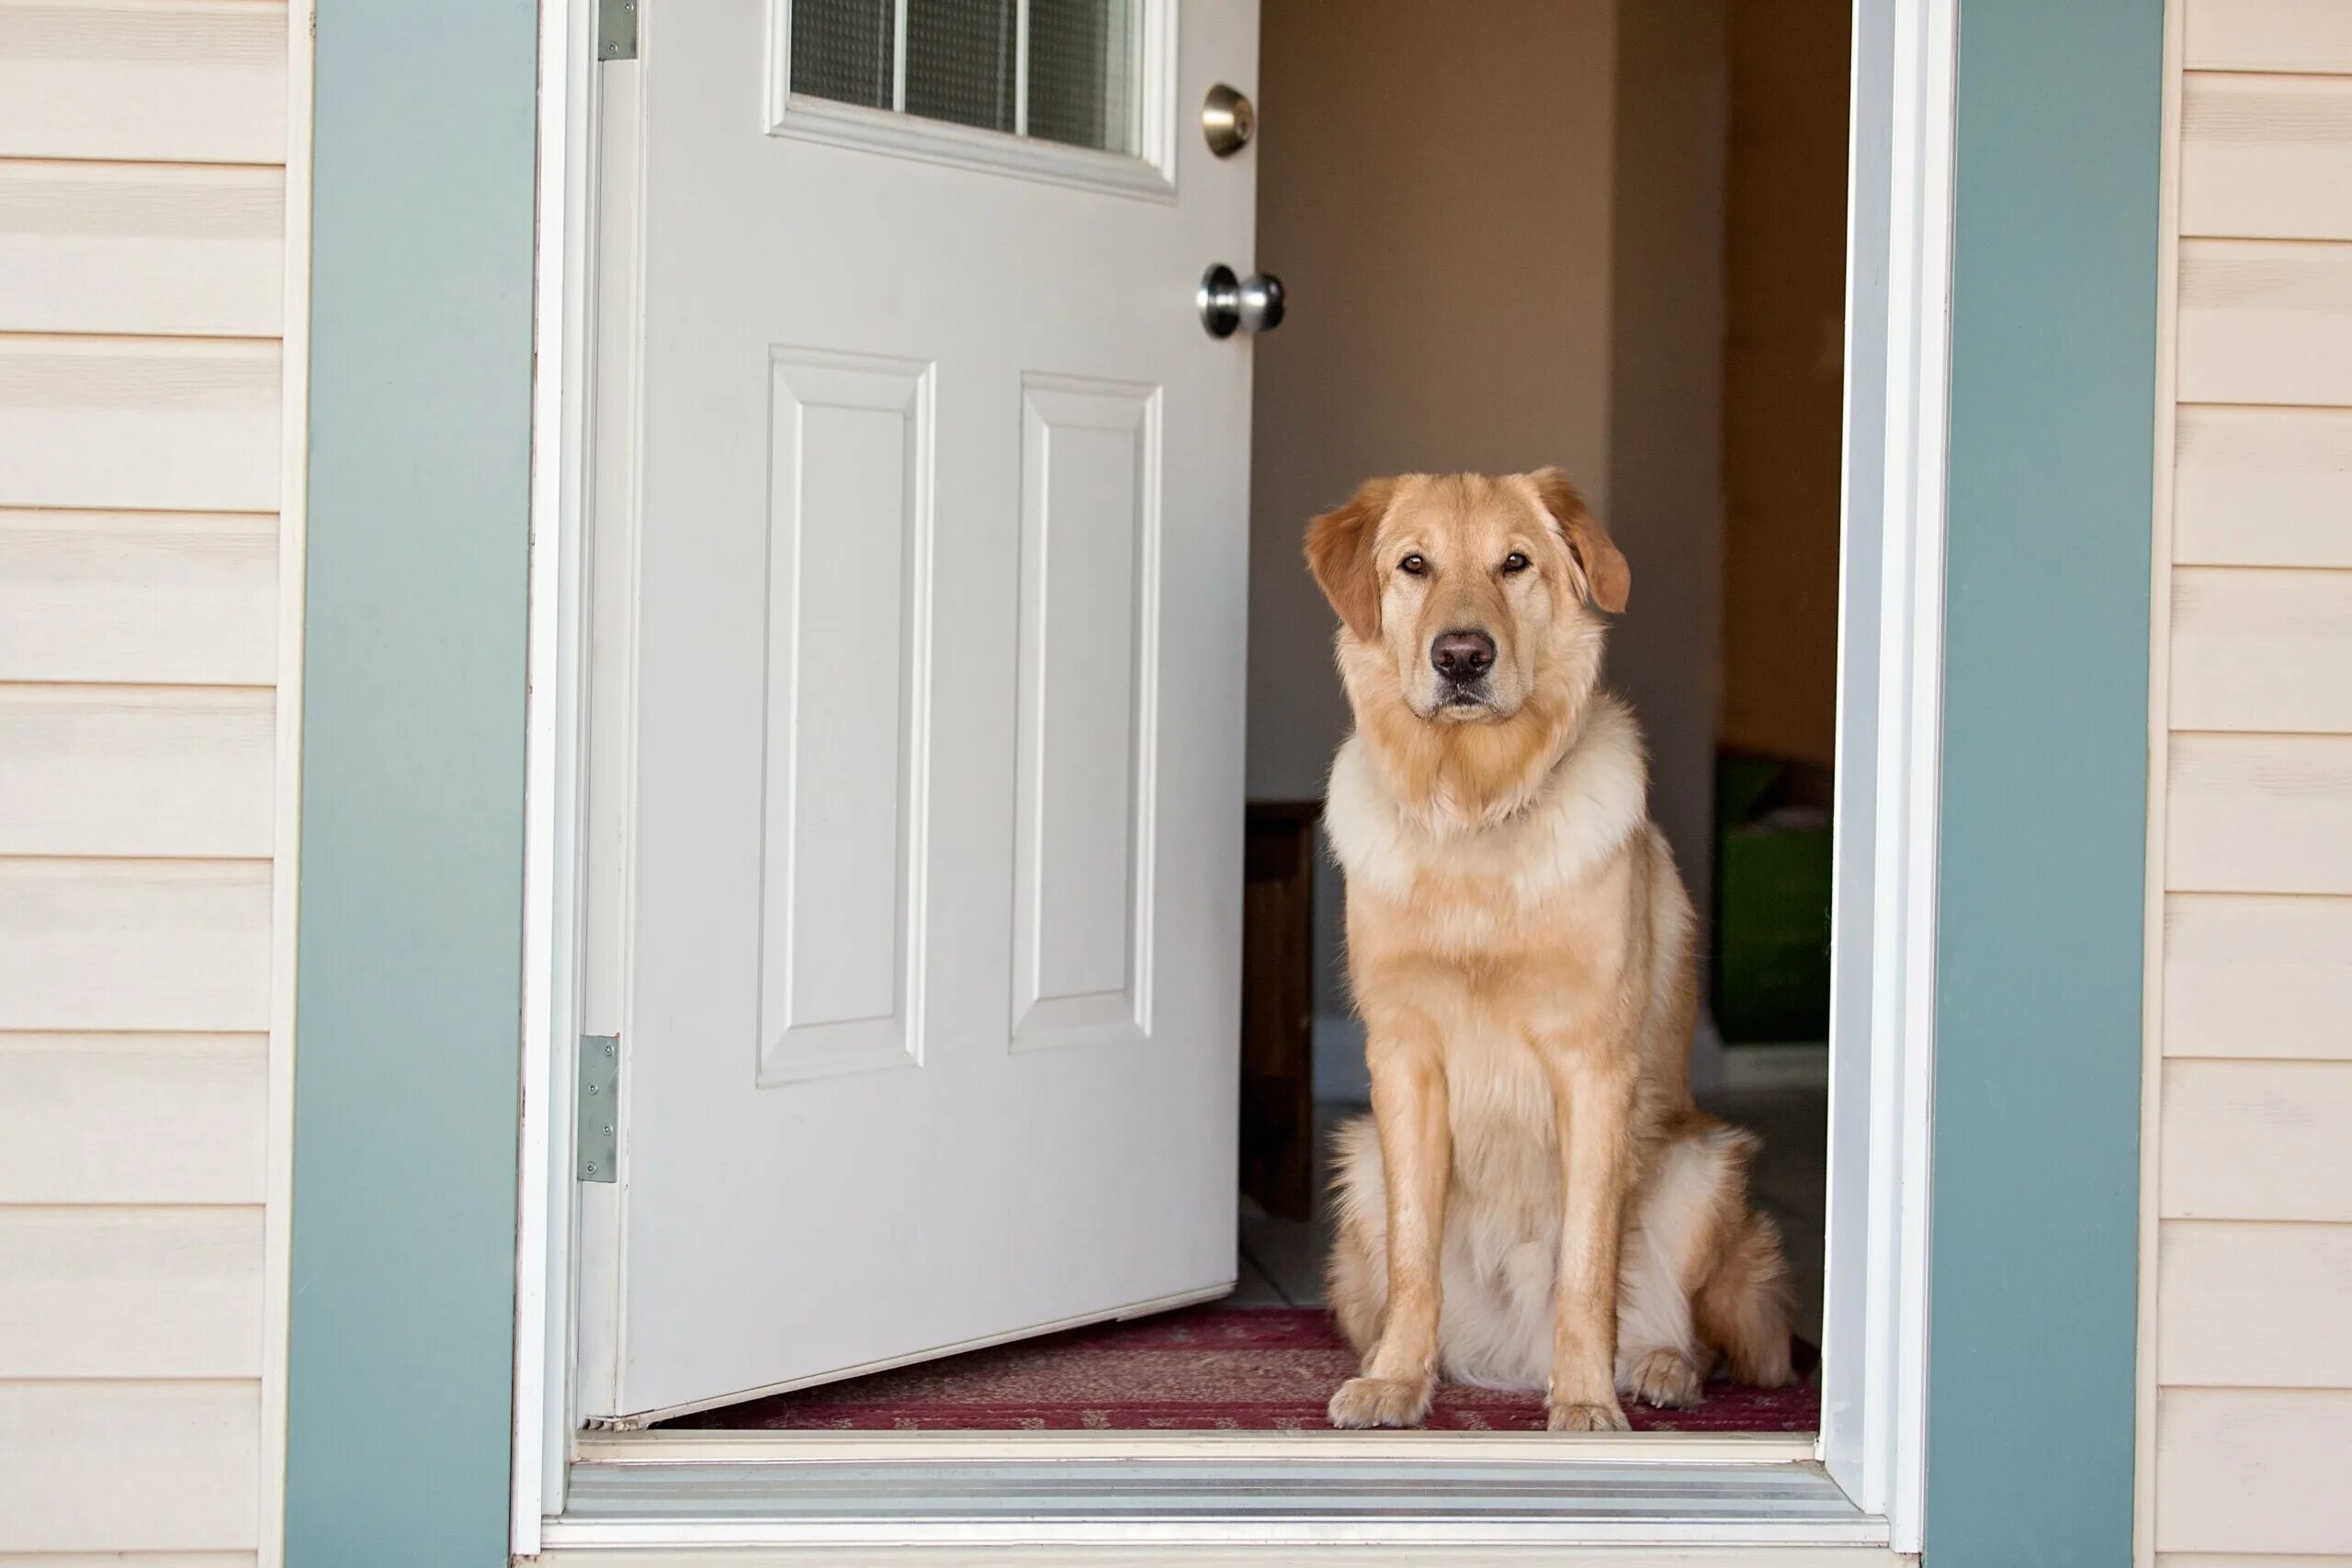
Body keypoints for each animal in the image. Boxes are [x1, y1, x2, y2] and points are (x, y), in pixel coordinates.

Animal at [1317, 469, 1787, 1438]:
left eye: (1515, 563)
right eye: (1413, 564)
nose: (1463, 657)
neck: (1476, 807)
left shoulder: (1592, 1067)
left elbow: (1586, 1264)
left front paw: (1584, 1399)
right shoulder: (1404, 1061)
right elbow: (1416, 1258)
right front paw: (1397, 1382)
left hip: (1703, 1169)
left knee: (1701, 1334)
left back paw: (1657, 1368)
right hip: (1359, 1172)